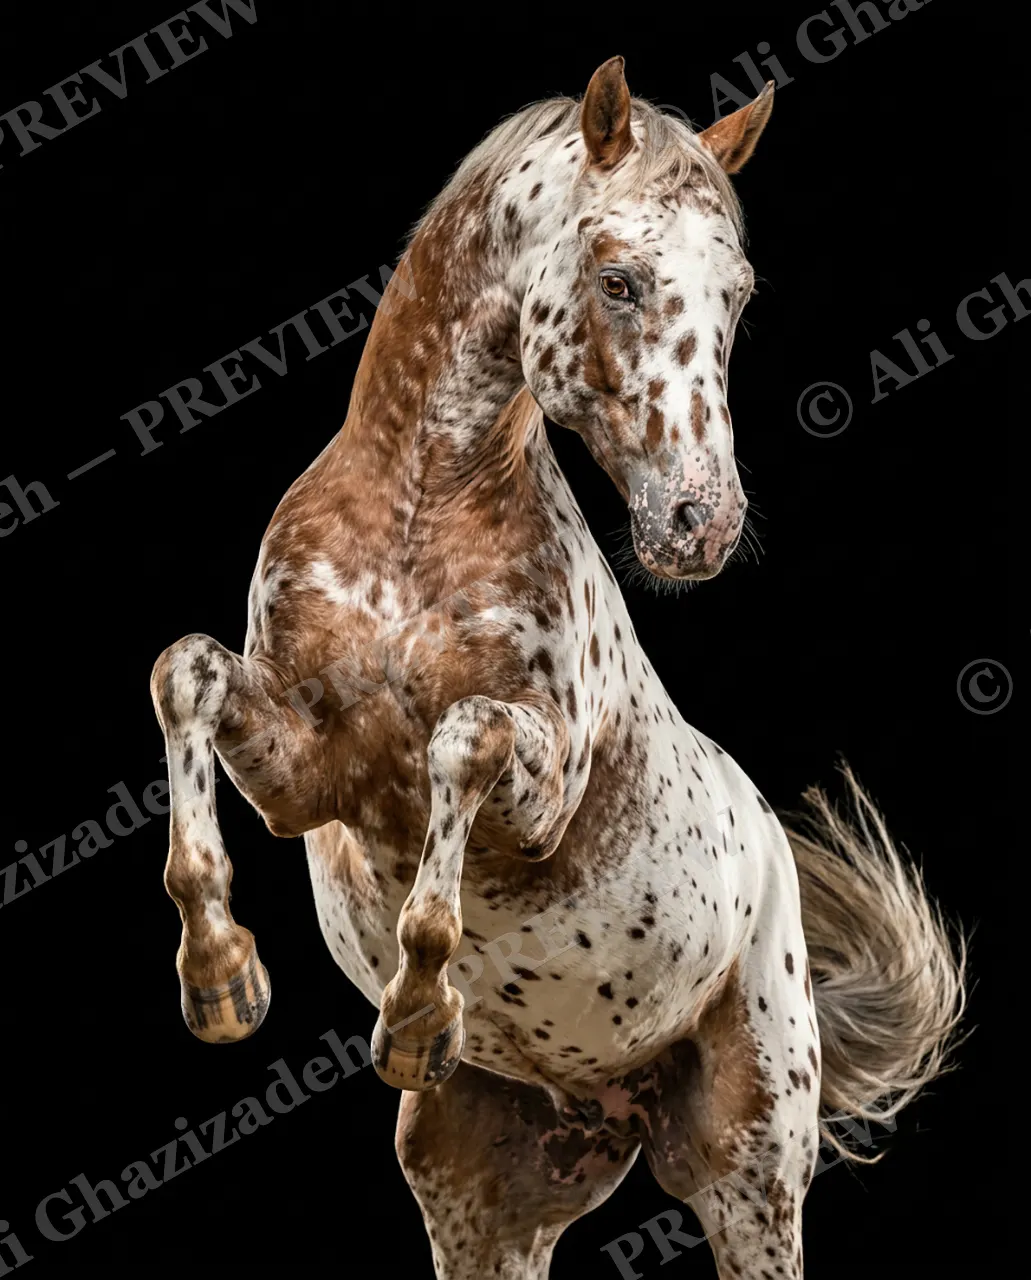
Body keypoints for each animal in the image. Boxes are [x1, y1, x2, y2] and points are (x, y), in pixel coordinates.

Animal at [151, 57, 965, 1279]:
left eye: (736, 295)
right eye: (619, 281)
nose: (700, 523)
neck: (415, 522)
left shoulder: (533, 796)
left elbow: (463, 738)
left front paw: (418, 1015)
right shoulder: (302, 775)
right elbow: (186, 673)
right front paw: (220, 976)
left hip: (750, 1175)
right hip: (488, 1206)